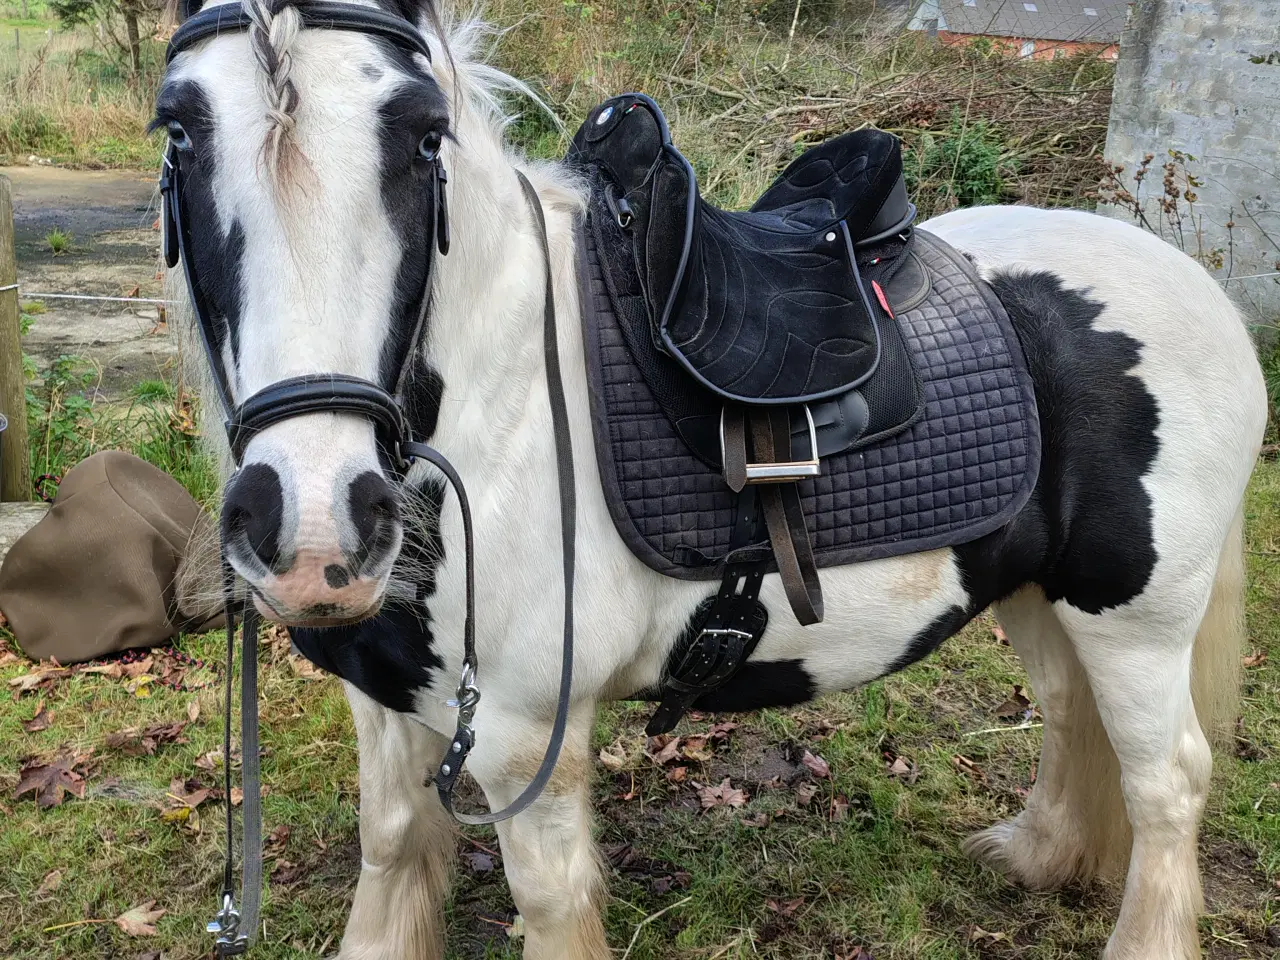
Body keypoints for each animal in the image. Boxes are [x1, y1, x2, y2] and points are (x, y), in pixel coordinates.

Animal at [157, 3, 1269, 957]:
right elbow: (390, 846)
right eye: (177, 131)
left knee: (1168, 780)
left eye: (424, 135)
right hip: (1042, 596)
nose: (312, 526)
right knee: (1076, 719)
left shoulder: (522, 739)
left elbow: (547, 898)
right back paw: (1038, 856)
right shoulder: (384, 702)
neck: (502, 396)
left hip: (1137, 617)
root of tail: (1194, 284)